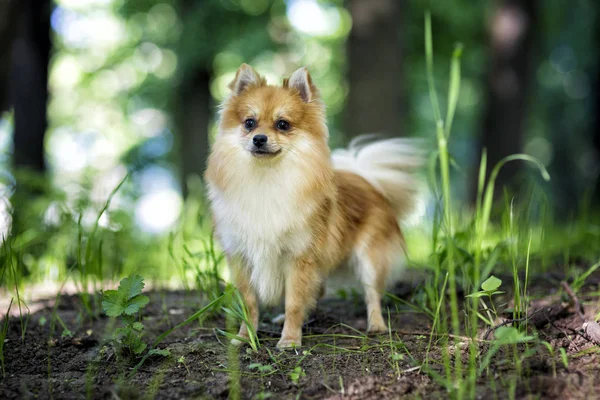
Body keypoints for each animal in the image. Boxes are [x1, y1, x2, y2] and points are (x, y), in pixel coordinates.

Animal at [206, 64, 422, 348]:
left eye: (283, 124)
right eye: (249, 123)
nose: (259, 138)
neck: (266, 178)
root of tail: (367, 181)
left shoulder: (299, 256)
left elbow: (294, 301)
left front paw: (289, 339)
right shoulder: (242, 257)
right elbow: (249, 303)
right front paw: (245, 337)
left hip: (369, 258)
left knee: (372, 293)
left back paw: (376, 325)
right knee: (319, 289)